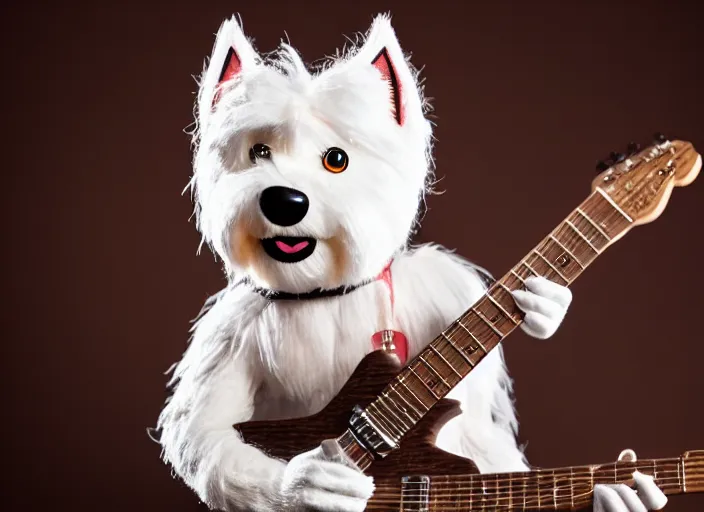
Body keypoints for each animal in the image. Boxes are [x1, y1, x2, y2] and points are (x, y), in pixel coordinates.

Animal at [157, 15, 668, 512]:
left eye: (336, 159)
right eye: (258, 152)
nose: (284, 200)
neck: (331, 289)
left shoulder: (452, 291)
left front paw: (546, 303)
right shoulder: (230, 331)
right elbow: (204, 435)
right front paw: (308, 484)